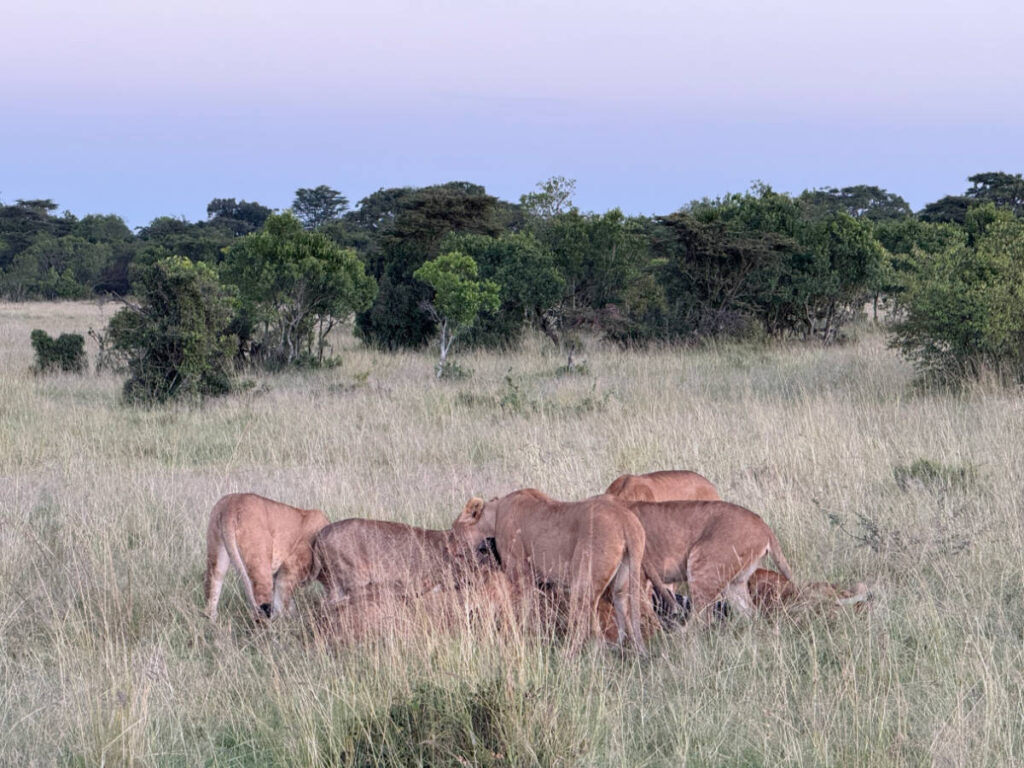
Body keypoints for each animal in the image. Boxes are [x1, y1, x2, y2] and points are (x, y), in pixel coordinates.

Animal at [204, 493, 330, 621]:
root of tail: (232, 505)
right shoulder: (291, 567)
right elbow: (281, 600)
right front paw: (289, 621)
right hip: (260, 564)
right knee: (262, 607)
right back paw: (272, 625)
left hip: (217, 556)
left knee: (212, 591)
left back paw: (213, 622)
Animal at [454, 489, 647, 654]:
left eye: (454, 530)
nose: (453, 551)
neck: (494, 516)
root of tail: (626, 520)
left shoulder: (521, 574)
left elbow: (524, 609)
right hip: (623, 576)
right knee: (621, 605)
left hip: (584, 579)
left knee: (587, 618)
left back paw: (573, 654)